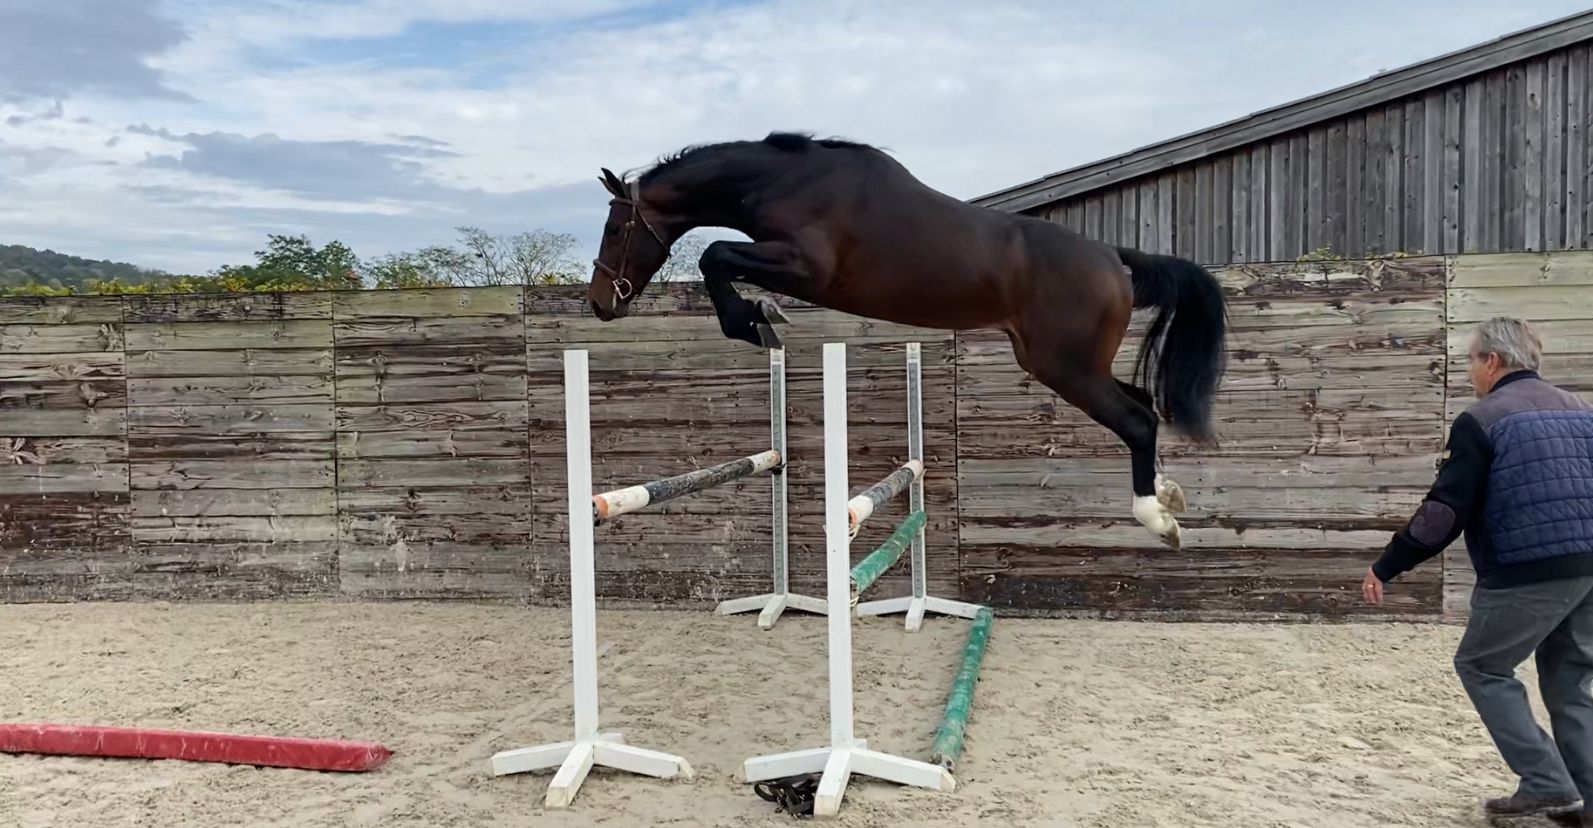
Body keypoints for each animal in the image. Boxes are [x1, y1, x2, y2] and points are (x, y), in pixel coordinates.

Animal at [585, 131, 1228, 549]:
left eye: (615, 227)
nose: (599, 304)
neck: (788, 179)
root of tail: (1114, 258)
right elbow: (719, 257)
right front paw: (757, 316)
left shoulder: (804, 267)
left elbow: (716, 255)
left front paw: (754, 319)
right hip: (1072, 365)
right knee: (1145, 408)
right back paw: (1169, 495)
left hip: (1065, 368)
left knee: (1137, 420)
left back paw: (1159, 519)